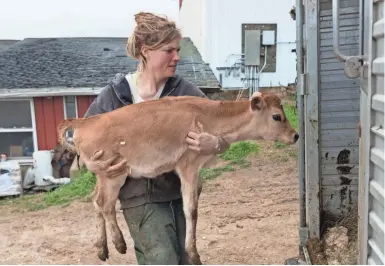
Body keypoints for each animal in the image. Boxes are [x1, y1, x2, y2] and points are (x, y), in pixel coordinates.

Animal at [57, 91, 296, 264]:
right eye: (277, 116)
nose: (296, 135)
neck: (209, 117)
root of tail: (85, 122)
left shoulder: (197, 171)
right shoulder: (188, 165)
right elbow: (191, 210)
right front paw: (193, 253)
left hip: (103, 175)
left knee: (95, 200)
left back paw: (102, 249)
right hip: (113, 173)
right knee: (104, 204)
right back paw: (119, 243)